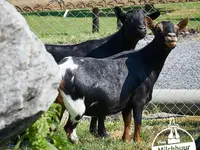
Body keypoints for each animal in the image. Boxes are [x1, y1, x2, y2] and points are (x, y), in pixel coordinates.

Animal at [57, 17, 188, 144]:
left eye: (177, 29)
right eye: (157, 29)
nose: (171, 37)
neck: (145, 60)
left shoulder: (126, 103)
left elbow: (127, 120)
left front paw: (125, 140)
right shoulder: (139, 100)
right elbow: (138, 121)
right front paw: (138, 141)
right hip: (76, 107)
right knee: (68, 128)